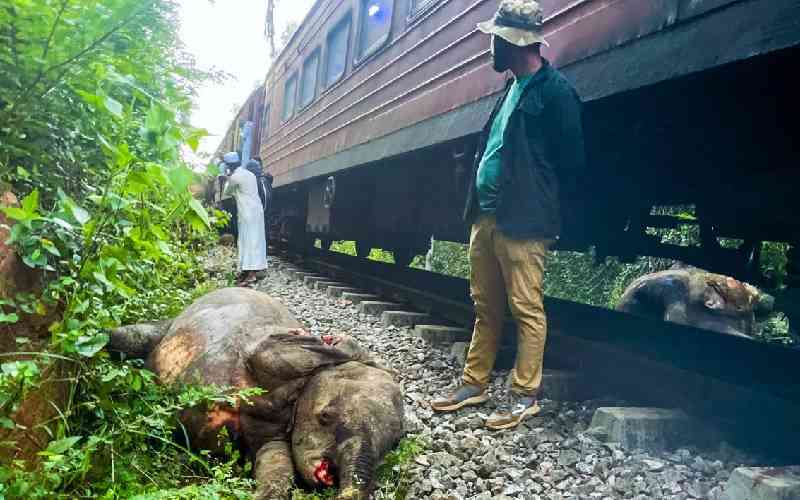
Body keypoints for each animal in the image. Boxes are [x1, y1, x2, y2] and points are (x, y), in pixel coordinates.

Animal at [109, 288, 404, 498]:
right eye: (325, 417)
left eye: (394, 444)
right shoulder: (268, 350)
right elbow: (270, 353)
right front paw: (335, 343)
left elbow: (276, 466)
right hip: (168, 327)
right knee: (125, 338)